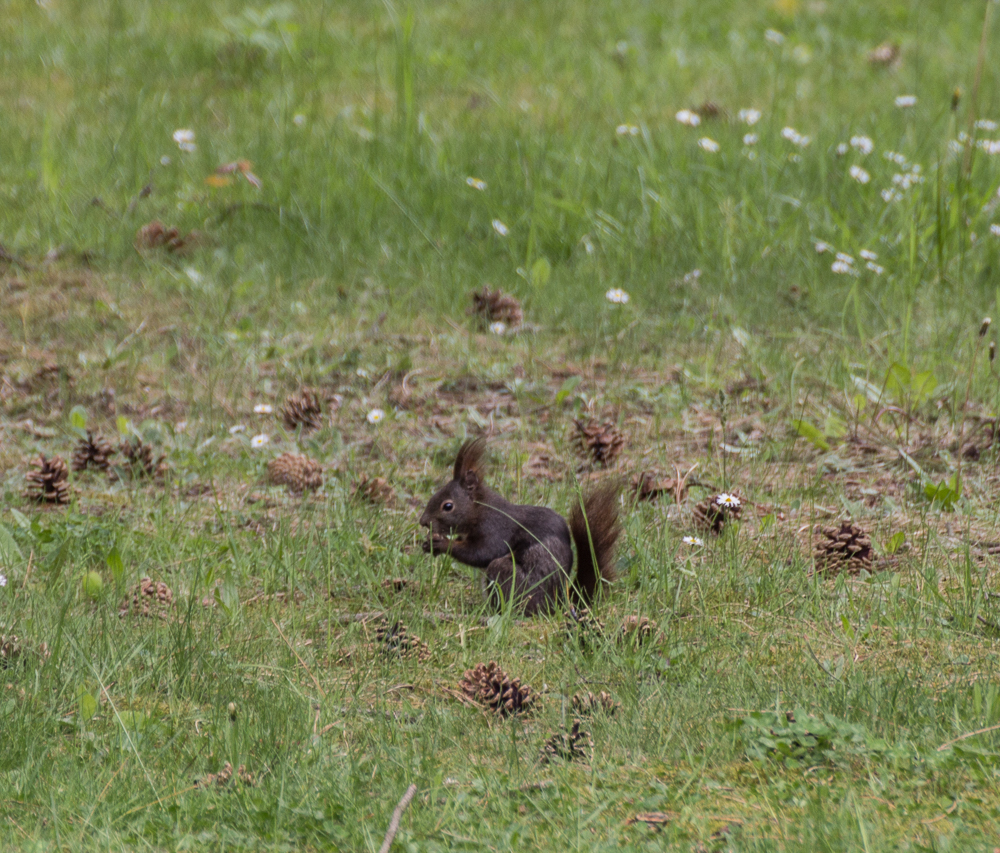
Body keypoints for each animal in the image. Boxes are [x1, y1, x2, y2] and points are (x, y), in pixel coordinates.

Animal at [418, 440, 620, 612]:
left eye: (448, 506)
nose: (423, 522)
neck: (480, 510)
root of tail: (557, 605)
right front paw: (429, 544)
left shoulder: (495, 529)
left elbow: (482, 553)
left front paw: (441, 544)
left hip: (511, 578)